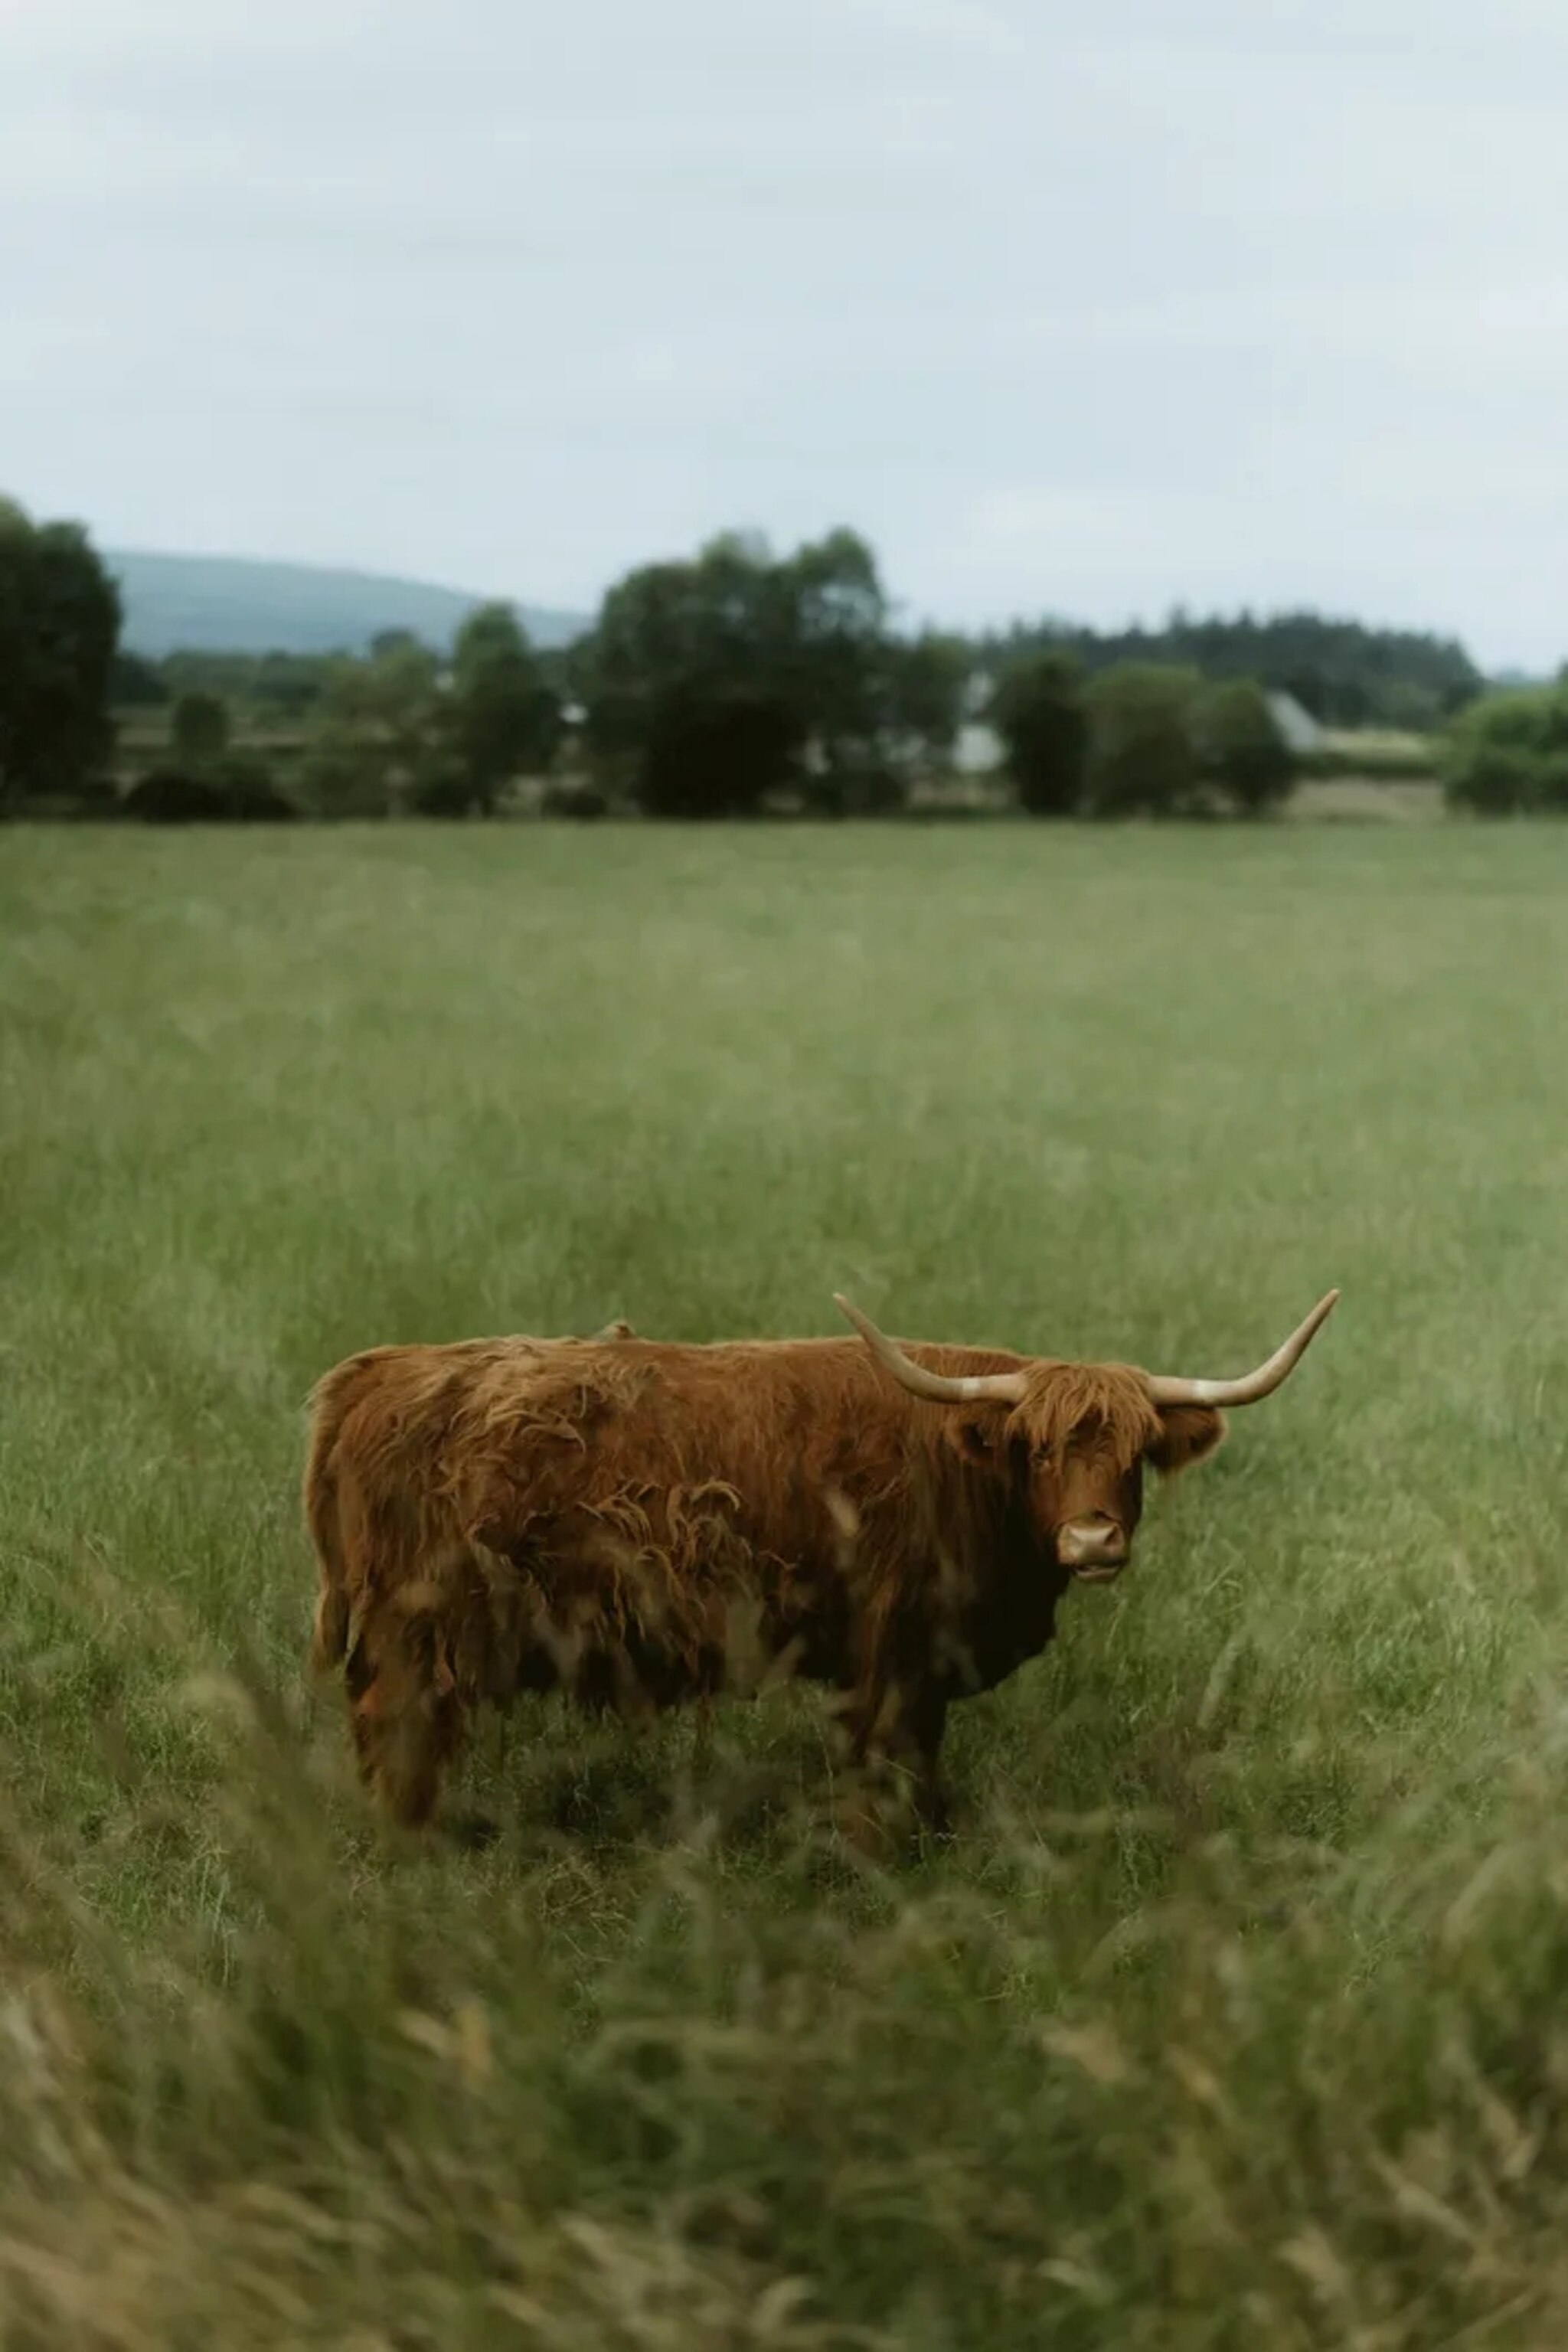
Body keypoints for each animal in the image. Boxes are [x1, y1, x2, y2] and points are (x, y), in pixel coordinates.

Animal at [303, 1289, 1337, 1835]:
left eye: (1131, 1454)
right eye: (1034, 1451)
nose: (1091, 1542)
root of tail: (373, 1373)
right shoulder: (896, 1650)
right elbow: (884, 1761)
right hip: (416, 1630)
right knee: (396, 1730)